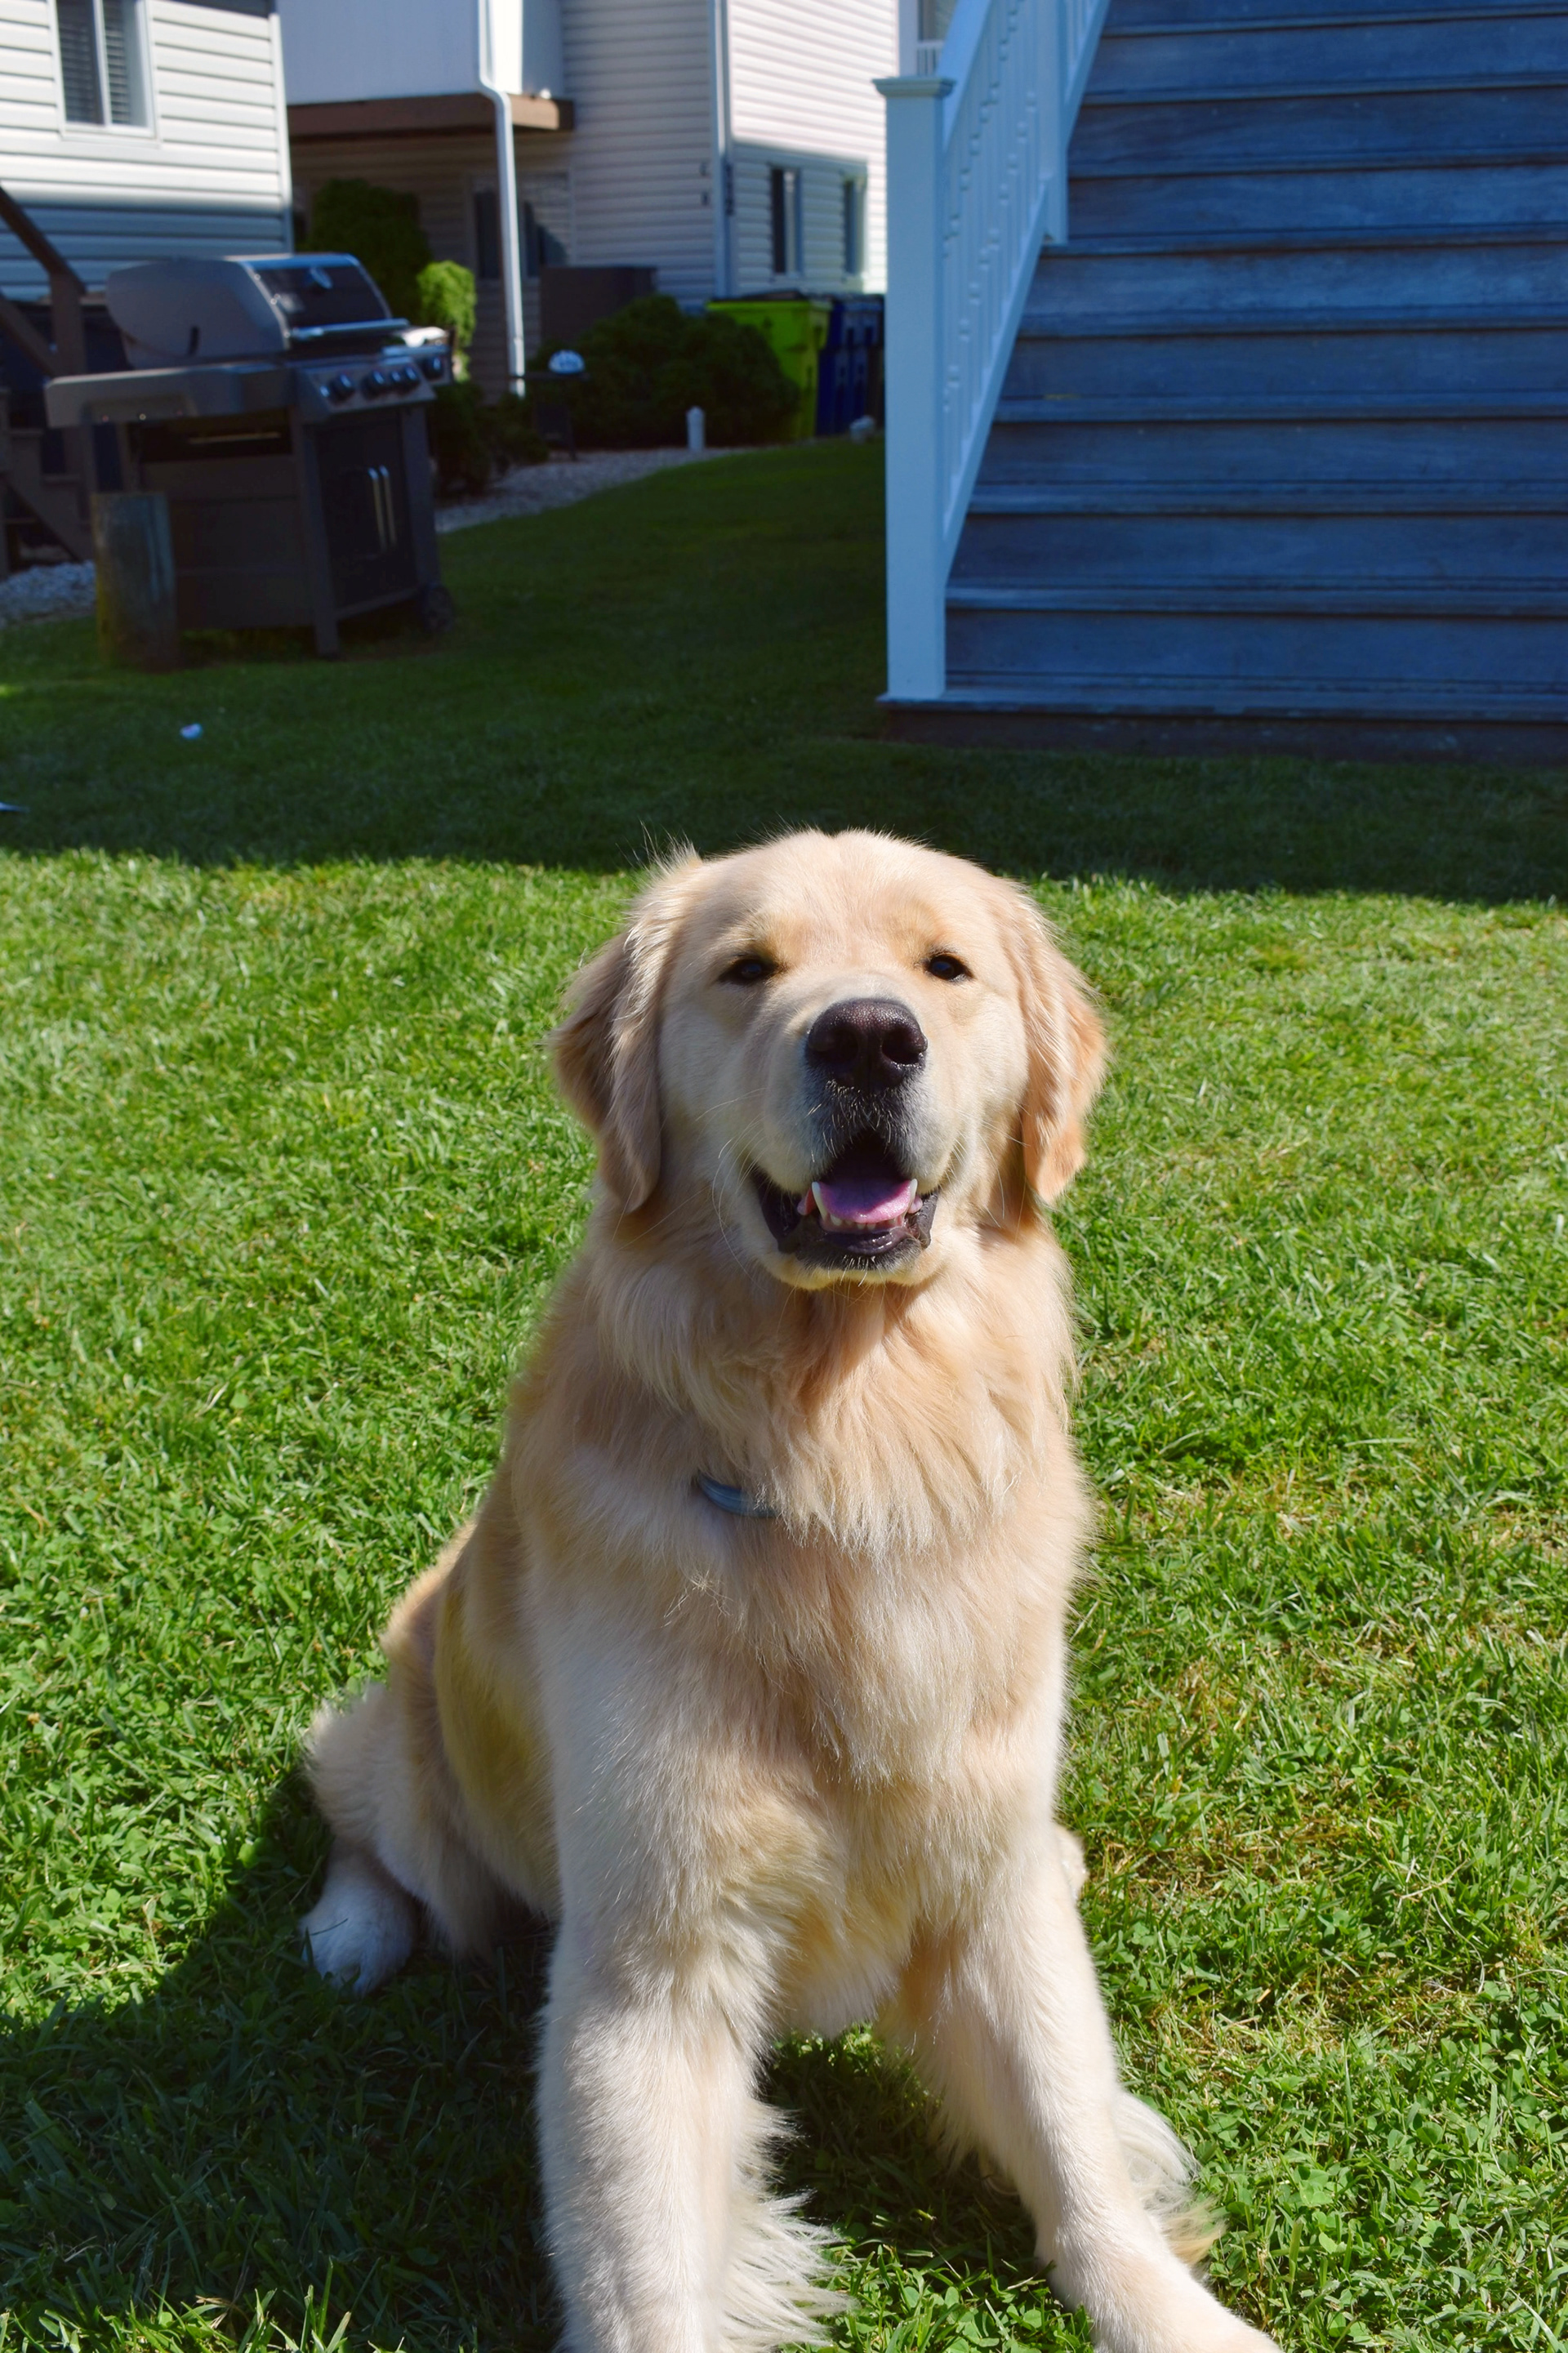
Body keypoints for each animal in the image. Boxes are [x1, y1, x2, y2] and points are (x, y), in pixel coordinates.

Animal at [301, 831, 1280, 2353]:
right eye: (745, 969)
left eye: (946, 968)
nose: (869, 1036)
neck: (845, 1447)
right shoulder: (651, 1954)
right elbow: (647, 2270)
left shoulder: (987, 1876)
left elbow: (1073, 2151)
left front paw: (1169, 2303)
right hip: (424, 1762)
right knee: (355, 1806)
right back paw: (351, 1925)